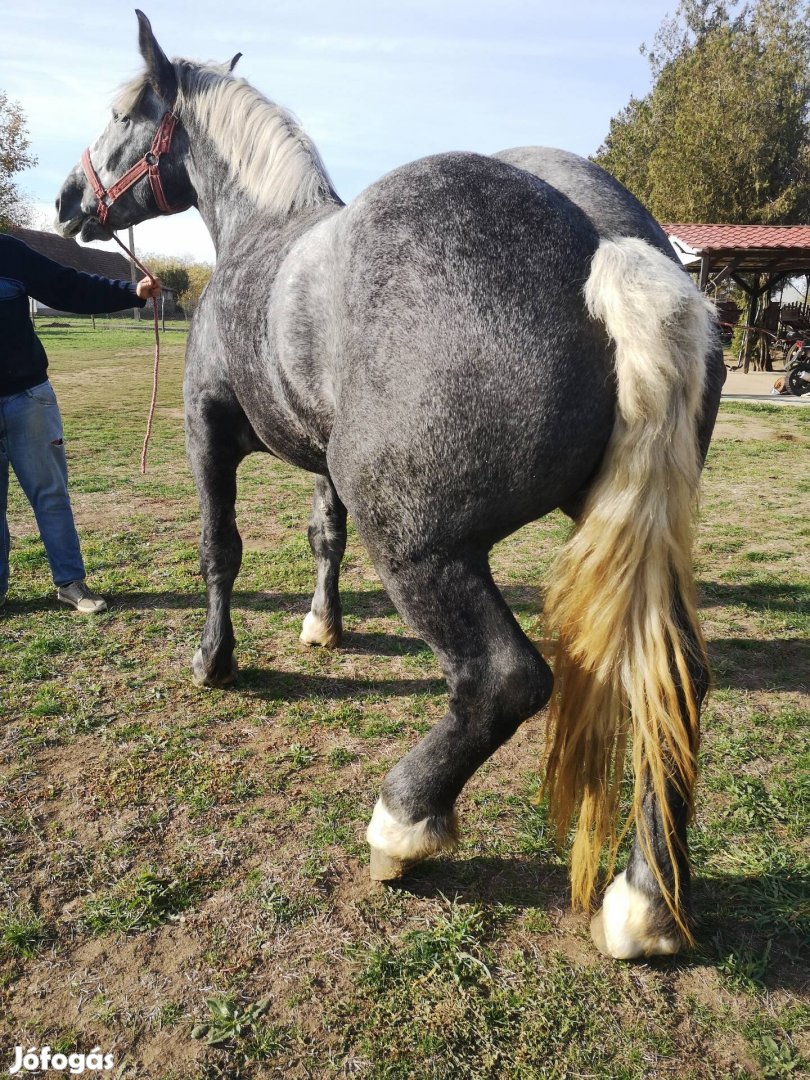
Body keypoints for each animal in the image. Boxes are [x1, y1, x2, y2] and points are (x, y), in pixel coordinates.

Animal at [60, 12, 725, 959]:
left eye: (122, 114)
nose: (66, 204)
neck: (265, 236)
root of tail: (603, 251)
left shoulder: (205, 431)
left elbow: (220, 550)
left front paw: (215, 660)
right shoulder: (321, 461)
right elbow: (321, 537)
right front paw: (322, 625)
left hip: (420, 547)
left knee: (504, 680)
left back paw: (402, 825)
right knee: (674, 678)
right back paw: (647, 903)